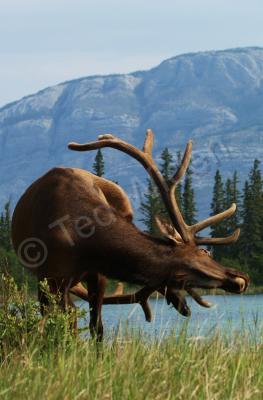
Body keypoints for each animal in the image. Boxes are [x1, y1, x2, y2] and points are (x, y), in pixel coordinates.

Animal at [10, 130, 250, 340]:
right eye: (204, 252)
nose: (240, 278)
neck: (81, 241)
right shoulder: (51, 275)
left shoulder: (98, 273)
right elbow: (60, 327)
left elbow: (97, 329)